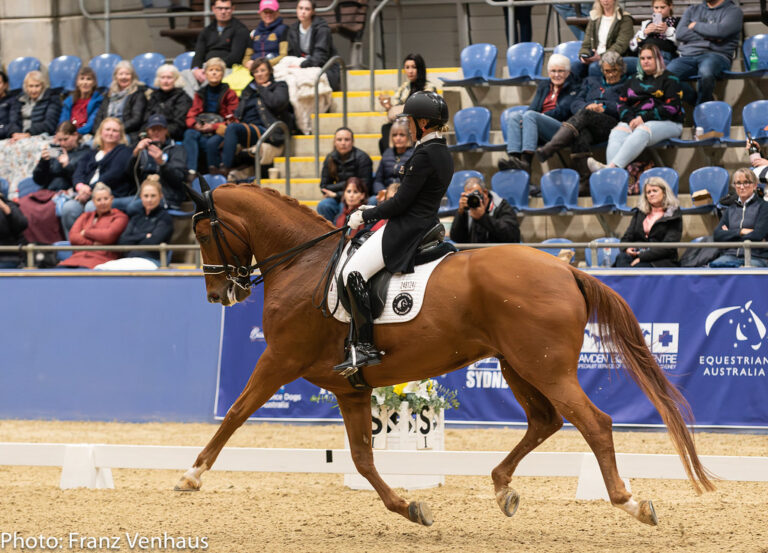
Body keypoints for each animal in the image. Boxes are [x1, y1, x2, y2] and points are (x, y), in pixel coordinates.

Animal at [176, 181, 715, 527]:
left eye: (202, 233)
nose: (218, 295)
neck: (302, 264)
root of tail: (567, 268)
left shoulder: (279, 360)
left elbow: (236, 413)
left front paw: (191, 476)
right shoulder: (350, 388)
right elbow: (362, 458)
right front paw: (410, 509)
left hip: (544, 367)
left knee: (594, 423)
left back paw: (630, 504)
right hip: (518, 366)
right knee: (545, 421)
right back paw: (501, 486)